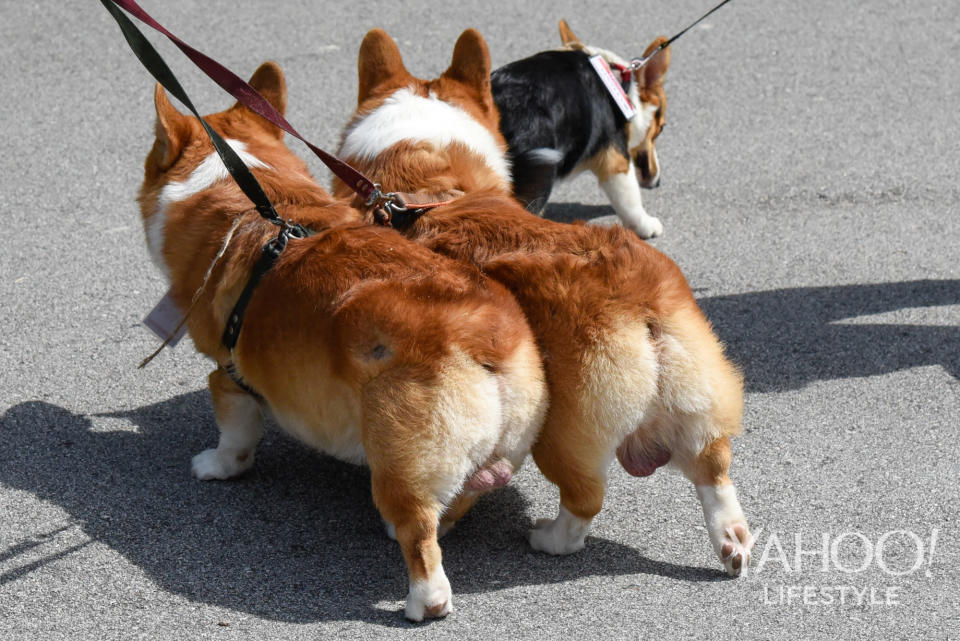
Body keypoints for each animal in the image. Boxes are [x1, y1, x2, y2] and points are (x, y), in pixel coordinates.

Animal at [141, 61, 548, 620]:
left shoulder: (228, 379)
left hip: (400, 461)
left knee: (420, 538)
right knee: (456, 501)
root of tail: (485, 335)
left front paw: (216, 467)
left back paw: (423, 601)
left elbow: (235, 438)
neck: (253, 198)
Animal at [492, 21, 672, 240]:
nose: (658, 182)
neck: (623, 88)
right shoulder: (616, 162)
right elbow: (630, 201)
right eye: (661, 128)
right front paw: (646, 226)